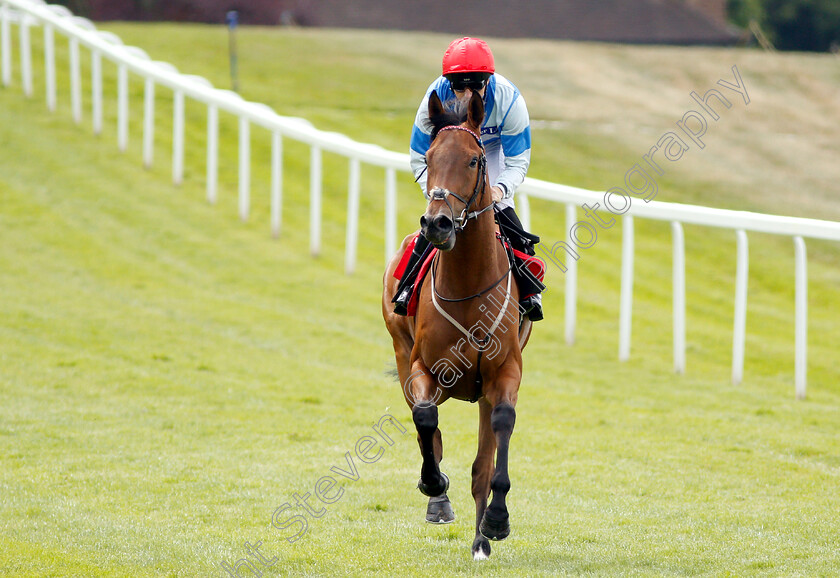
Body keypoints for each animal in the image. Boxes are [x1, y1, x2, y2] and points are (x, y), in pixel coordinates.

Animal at [382, 89, 532, 560]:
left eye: (473, 159)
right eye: (429, 157)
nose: (437, 223)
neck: (468, 287)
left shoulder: (504, 373)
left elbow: (498, 437)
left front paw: (496, 522)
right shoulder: (423, 368)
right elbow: (425, 420)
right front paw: (435, 487)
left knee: (481, 458)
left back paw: (481, 538)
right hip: (400, 350)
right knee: (424, 427)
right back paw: (438, 497)